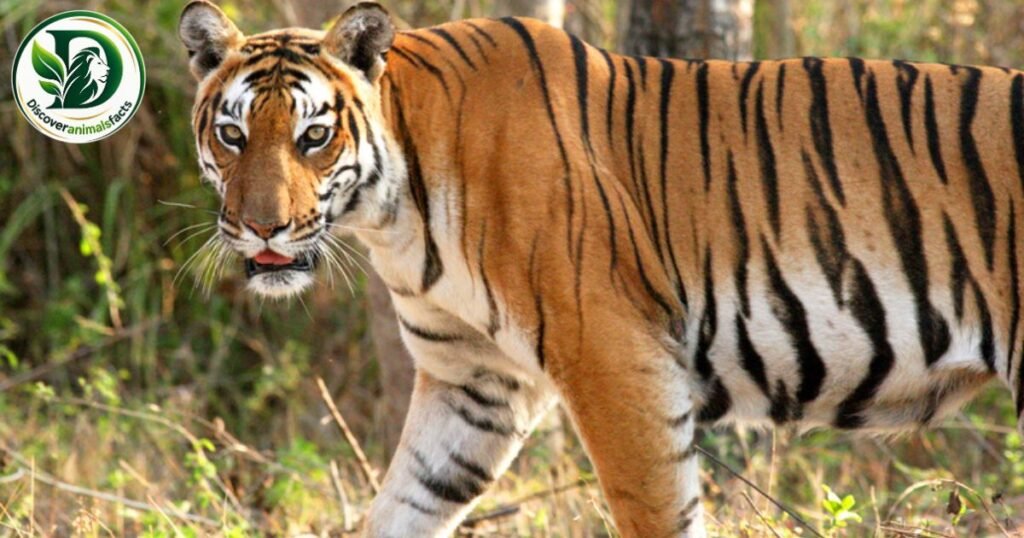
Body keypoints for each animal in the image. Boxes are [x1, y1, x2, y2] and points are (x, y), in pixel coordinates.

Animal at [177, 0, 1024, 535]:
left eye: (314, 137)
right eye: (232, 134)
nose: (262, 228)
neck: (394, 213)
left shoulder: (614, 359)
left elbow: (655, 513)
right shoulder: (472, 382)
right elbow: (406, 503)